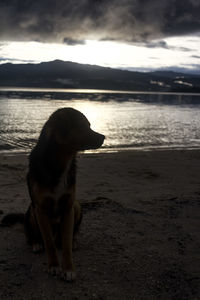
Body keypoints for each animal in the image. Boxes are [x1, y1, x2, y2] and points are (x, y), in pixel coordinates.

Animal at [1, 108, 104, 282]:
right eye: (83, 126)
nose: (104, 137)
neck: (60, 163)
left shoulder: (68, 207)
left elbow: (67, 245)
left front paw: (68, 269)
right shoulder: (40, 209)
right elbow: (49, 243)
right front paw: (54, 266)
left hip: (77, 205)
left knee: (71, 234)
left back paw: (73, 241)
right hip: (32, 211)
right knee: (32, 235)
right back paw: (36, 243)